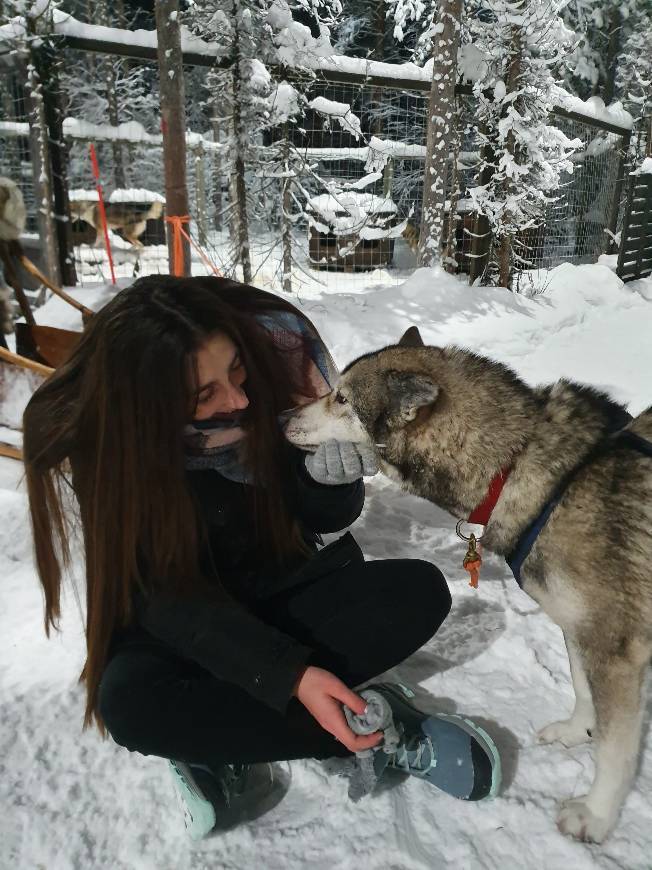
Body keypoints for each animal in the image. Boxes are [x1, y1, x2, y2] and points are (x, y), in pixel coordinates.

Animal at [286, 328, 652, 844]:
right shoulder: (578, 627)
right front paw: (577, 730)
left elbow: (616, 749)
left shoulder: (614, 647)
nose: (282, 419)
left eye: (341, 398)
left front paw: (596, 815)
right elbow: (583, 690)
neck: (521, 464)